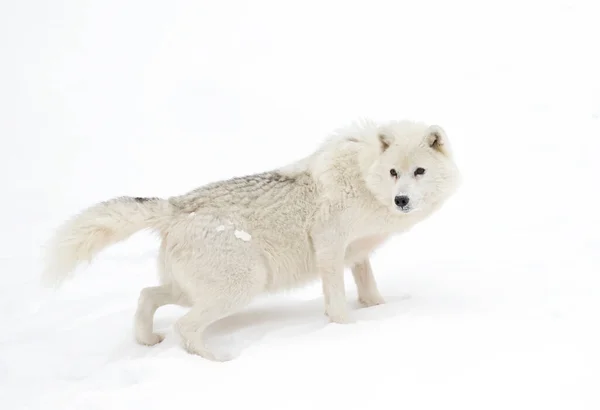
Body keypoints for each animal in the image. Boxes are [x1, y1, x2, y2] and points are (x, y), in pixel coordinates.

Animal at [42, 119, 462, 362]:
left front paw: (379, 310)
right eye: (394, 172)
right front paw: (345, 329)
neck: (365, 180)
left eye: (419, 171)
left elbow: (369, 288)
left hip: (197, 289)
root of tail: (177, 206)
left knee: (147, 295)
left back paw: (147, 342)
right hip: (243, 286)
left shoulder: (356, 252)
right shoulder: (329, 246)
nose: (402, 200)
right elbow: (337, 300)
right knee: (185, 327)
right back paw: (220, 361)